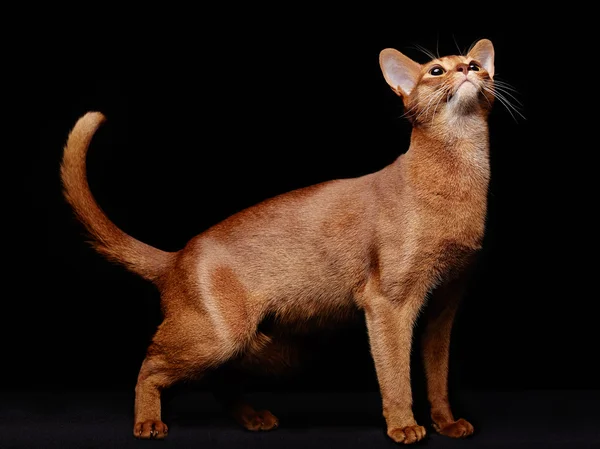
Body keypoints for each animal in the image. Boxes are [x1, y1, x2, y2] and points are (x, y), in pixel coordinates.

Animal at [59, 37, 496, 440]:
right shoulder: (387, 302)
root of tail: (178, 255)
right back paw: (149, 421)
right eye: (437, 71)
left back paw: (252, 418)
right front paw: (404, 426)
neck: (458, 174)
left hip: (268, 346)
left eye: (476, 65)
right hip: (222, 336)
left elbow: (437, 375)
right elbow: (395, 374)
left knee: (218, 377)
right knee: (150, 363)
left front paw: (446, 422)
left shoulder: (445, 303)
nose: (467, 70)